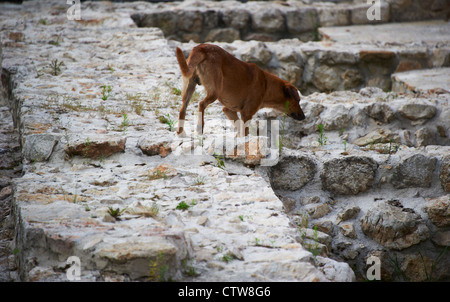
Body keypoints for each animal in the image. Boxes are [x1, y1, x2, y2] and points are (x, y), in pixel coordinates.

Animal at [174, 43, 304, 136]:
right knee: (201, 104)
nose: (304, 117)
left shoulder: (229, 110)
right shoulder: (247, 113)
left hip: (189, 86)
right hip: (214, 91)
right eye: (298, 100)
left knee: (182, 109)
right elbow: (244, 131)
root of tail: (200, 48)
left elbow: (239, 129)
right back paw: (199, 128)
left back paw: (180, 132)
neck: (266, 85)